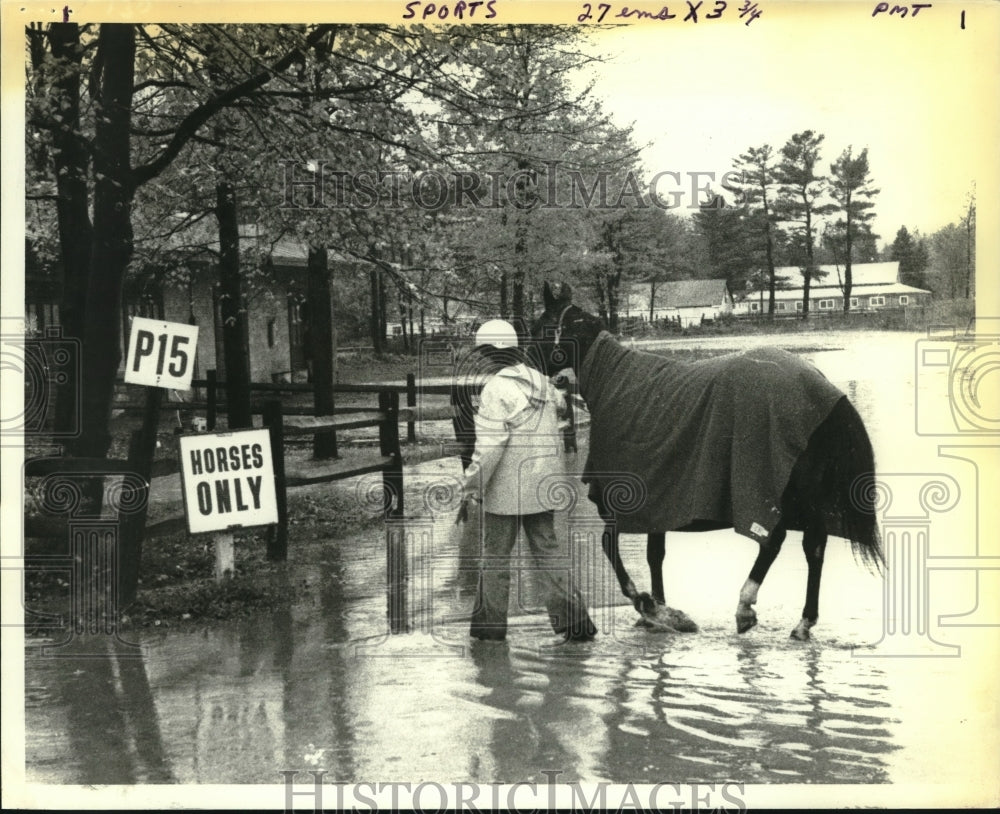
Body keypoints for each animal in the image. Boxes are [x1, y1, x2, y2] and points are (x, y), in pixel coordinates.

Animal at [532, 284, 884, 640]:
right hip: (807, 496)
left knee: (775, 541)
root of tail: (825, 392)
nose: (524, 359)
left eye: (541, 325)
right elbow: (654, 555)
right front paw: (661, 611)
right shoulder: (656, 502)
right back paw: (803, 622)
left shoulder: (626, 501)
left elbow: (610, 546)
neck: (617, 383)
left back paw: (746, 606)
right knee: (813, 548)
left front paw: (648, 605)